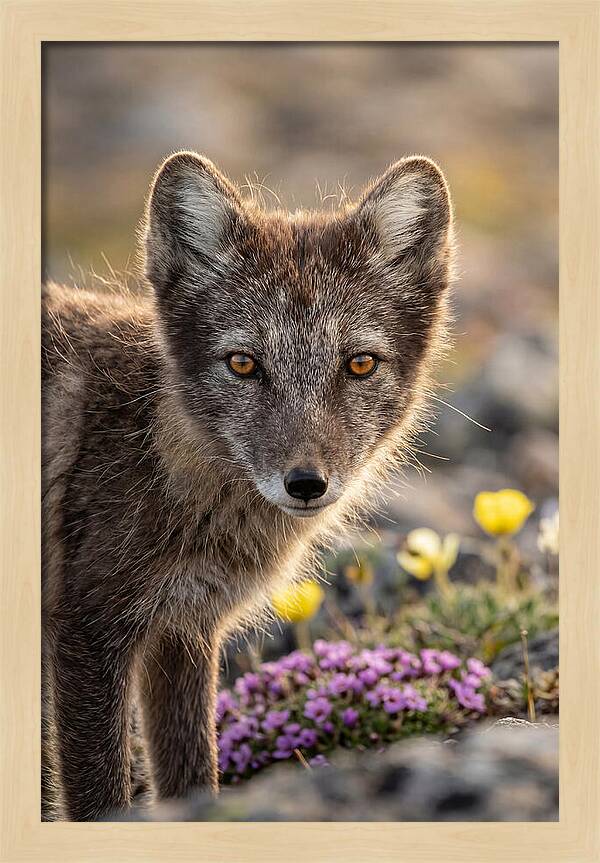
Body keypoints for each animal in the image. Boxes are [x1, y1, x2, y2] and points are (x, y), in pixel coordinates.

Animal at [42, 151, 454, 821]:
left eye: (359, 364)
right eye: (243, 364)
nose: (306, 484)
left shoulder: (183, 632)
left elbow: (193, 778)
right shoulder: (88, 630)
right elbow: (100, 799)